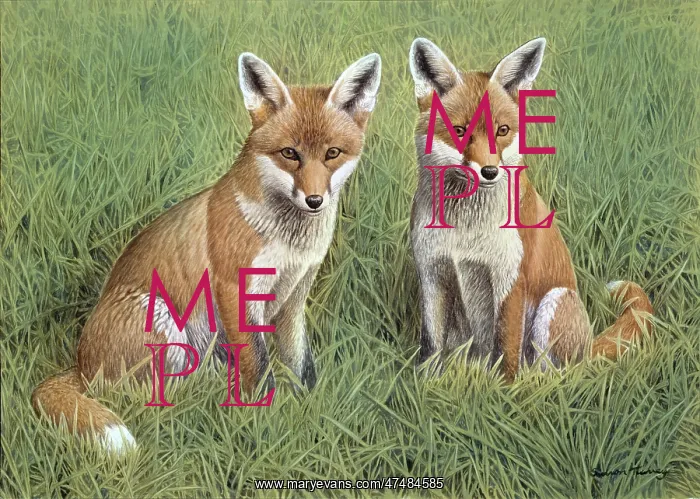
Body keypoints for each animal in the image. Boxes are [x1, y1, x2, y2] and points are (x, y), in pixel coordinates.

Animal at [31, 51, 382, 453]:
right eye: (290, 154)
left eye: (332, 154)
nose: (314, 201)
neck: (289, 241)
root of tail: (80, 365)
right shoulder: (236, 290)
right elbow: (258, 365)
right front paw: (265, 416)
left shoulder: (295, 297)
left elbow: (298, 363)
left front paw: (304, 407)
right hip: (166, 327)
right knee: (159, 395)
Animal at [407, 37, 653, 382]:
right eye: (460, 131)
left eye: (502, 130)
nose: (489, 172)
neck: (465, 230)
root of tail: (589, 347)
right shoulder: (431, 274)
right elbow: (431, 343)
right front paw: (424, 383)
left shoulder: (510, 277)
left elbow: (506, 348)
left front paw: (503, 392)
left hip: (553, 305)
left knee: (552, 376)